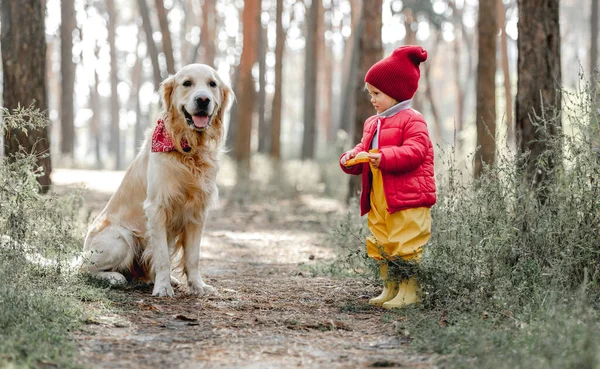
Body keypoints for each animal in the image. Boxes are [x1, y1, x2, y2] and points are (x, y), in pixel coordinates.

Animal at [83, 64, 233, 296]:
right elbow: (162, 256)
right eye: (187, 83)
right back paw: (115, 277)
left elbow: (193, 257)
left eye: (212, 84)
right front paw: (162, 287)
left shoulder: (198, 211)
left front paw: (197, 286)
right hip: (122, 238)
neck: (188, 148)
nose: (203, 100)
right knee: (84, 269)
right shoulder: (156, 207)